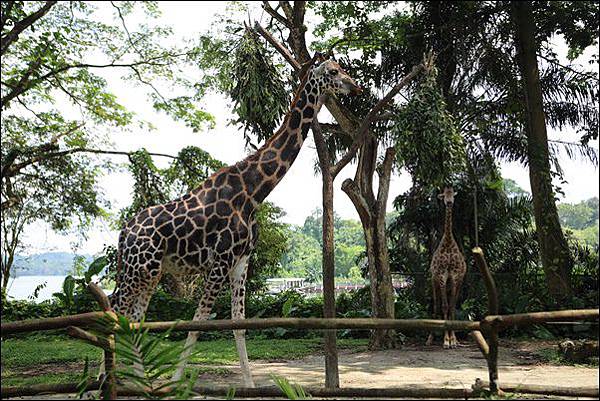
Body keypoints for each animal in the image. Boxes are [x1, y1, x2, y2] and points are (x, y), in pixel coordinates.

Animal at [107, 52, 360, 384]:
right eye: (332, 72)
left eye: (343, 69)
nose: (355, 87)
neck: (253, 192)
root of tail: (124, 231)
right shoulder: (221, 260)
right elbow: (199, 321)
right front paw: (175, 382)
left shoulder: (241, 260)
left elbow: (239, 324)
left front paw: (250, 384)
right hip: (139, 269)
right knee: (115, 312)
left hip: (152, 272)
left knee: (133, 318)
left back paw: (143, 382)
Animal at [424, 186, 466, 348]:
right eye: (443, 196)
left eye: (452, 195)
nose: (449, 203)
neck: (448, 241)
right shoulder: (442, 276)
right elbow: (444, 307)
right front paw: (446, 340)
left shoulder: (454, 277)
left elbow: (452, 308)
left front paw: (452, 339)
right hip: (434, 282)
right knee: (436, 306)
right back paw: (430, 339)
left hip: (457, 284)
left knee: (450, 305)